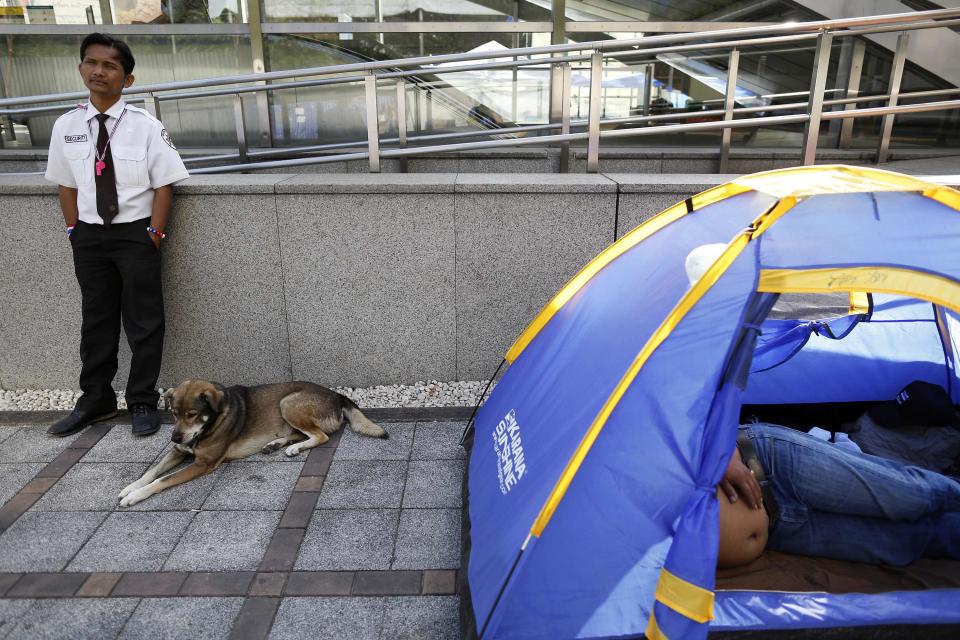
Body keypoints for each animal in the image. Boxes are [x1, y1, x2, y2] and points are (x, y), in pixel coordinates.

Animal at [120, 378, 386, 508]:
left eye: (192, 414)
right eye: (174, 414)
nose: (174, 437)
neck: (211, 423)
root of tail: (337, 395)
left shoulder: (204, 463)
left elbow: (162, 479)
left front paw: (136, 495)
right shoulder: (178, 451)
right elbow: (152, 471)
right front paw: (130, 487)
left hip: (288, 403)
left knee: (320, 436)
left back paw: (292, 447)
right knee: (303, 434)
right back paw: (275, 444)